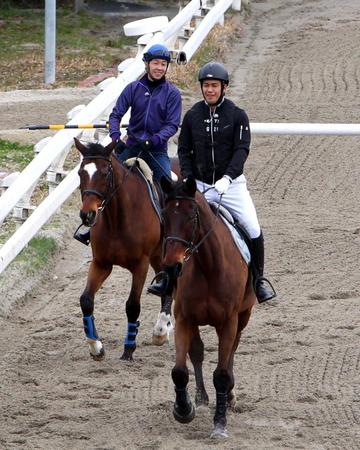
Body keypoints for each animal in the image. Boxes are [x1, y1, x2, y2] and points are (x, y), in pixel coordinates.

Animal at [74, 138, 173, 362]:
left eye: (104, 173)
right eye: (80, 173)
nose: (87, 215)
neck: (118, 218)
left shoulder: (140, 265)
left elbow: (132, 306)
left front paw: (129, 347)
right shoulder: (101, 263)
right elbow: (86, 300)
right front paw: (96, 347)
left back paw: (161, 330)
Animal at [160, 177, 256, 440]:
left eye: (191, 217)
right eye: (164, 215)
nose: (172, 266)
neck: (208, 266)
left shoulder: (229, 322)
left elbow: (221, 374)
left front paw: (220, 424)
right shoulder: (184, 319)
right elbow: (180, 370)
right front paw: (184, 409)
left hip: (243, 315)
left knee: (232, 351)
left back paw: (230, 396)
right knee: (197, 352)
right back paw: (201, 398)